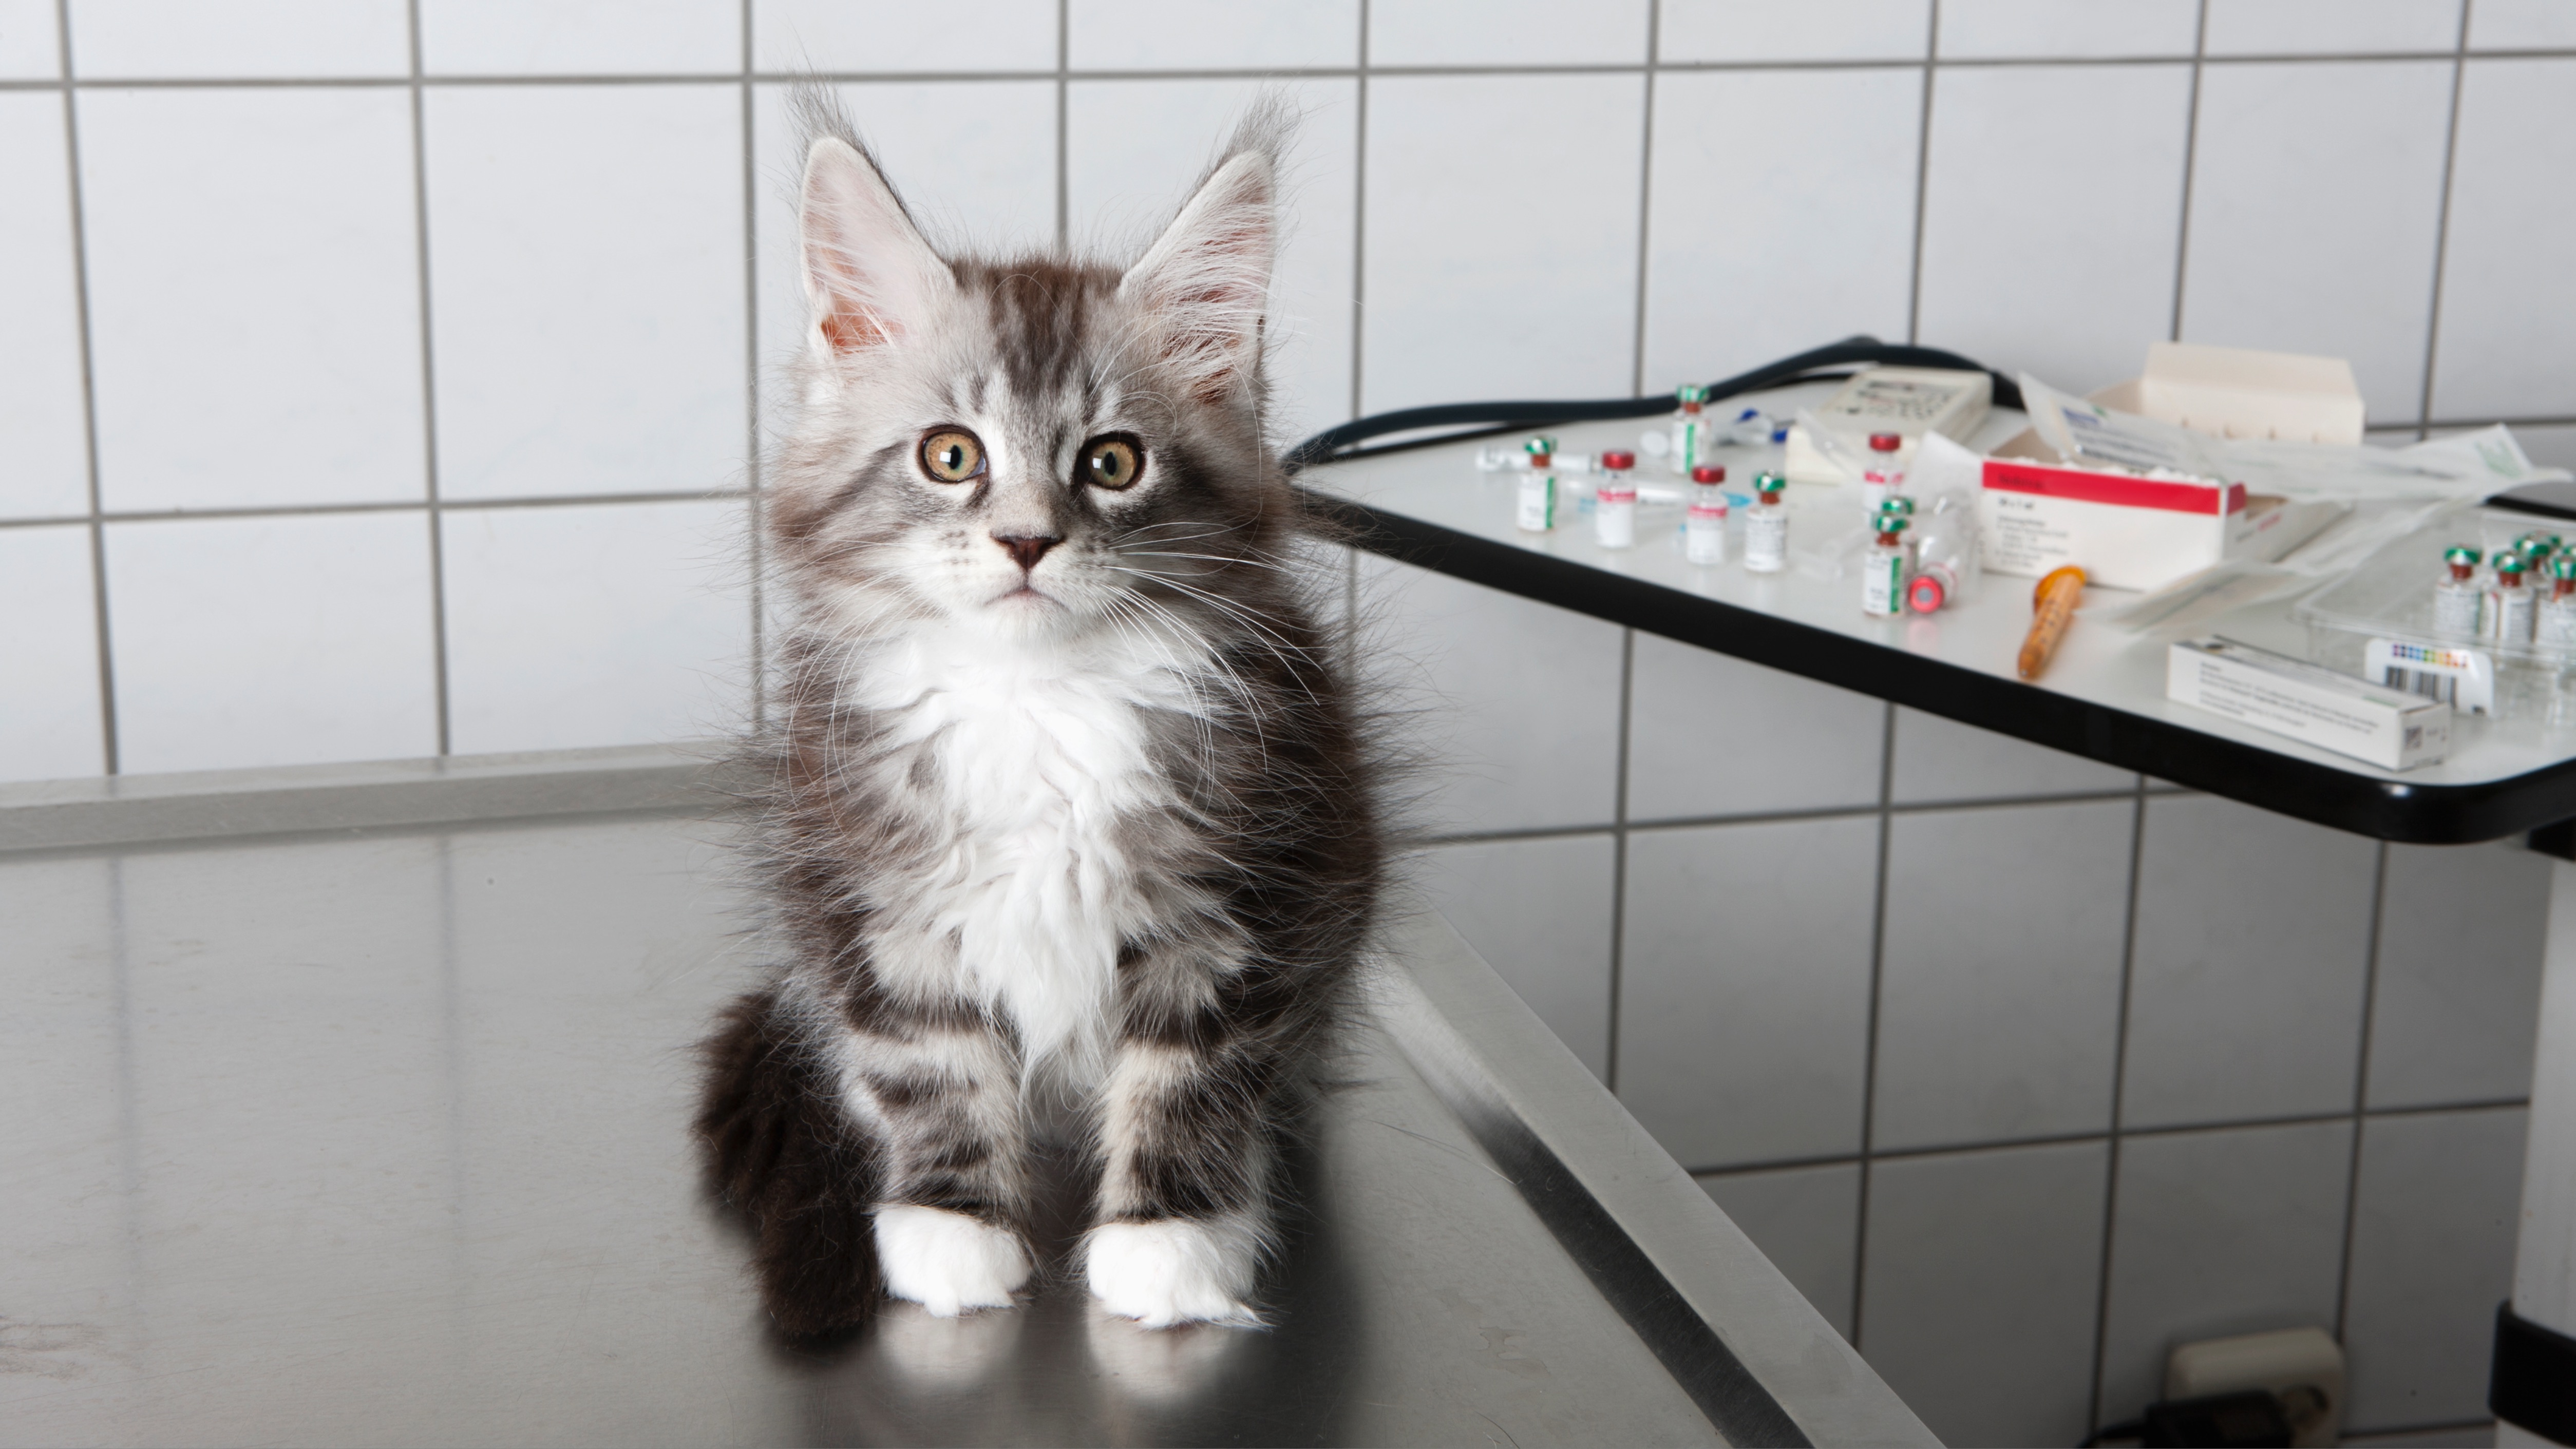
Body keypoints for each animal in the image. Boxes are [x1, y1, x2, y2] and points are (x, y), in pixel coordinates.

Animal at [690, 99, 1391, 1338]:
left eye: (1112, 462)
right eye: (951, 455)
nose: (1026, 540)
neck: (1037, 701)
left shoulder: (1253, 892)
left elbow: (1191, 1071)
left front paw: (1171, 1243)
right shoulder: (869, 892)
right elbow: (929, 1059)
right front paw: (948, 1226)